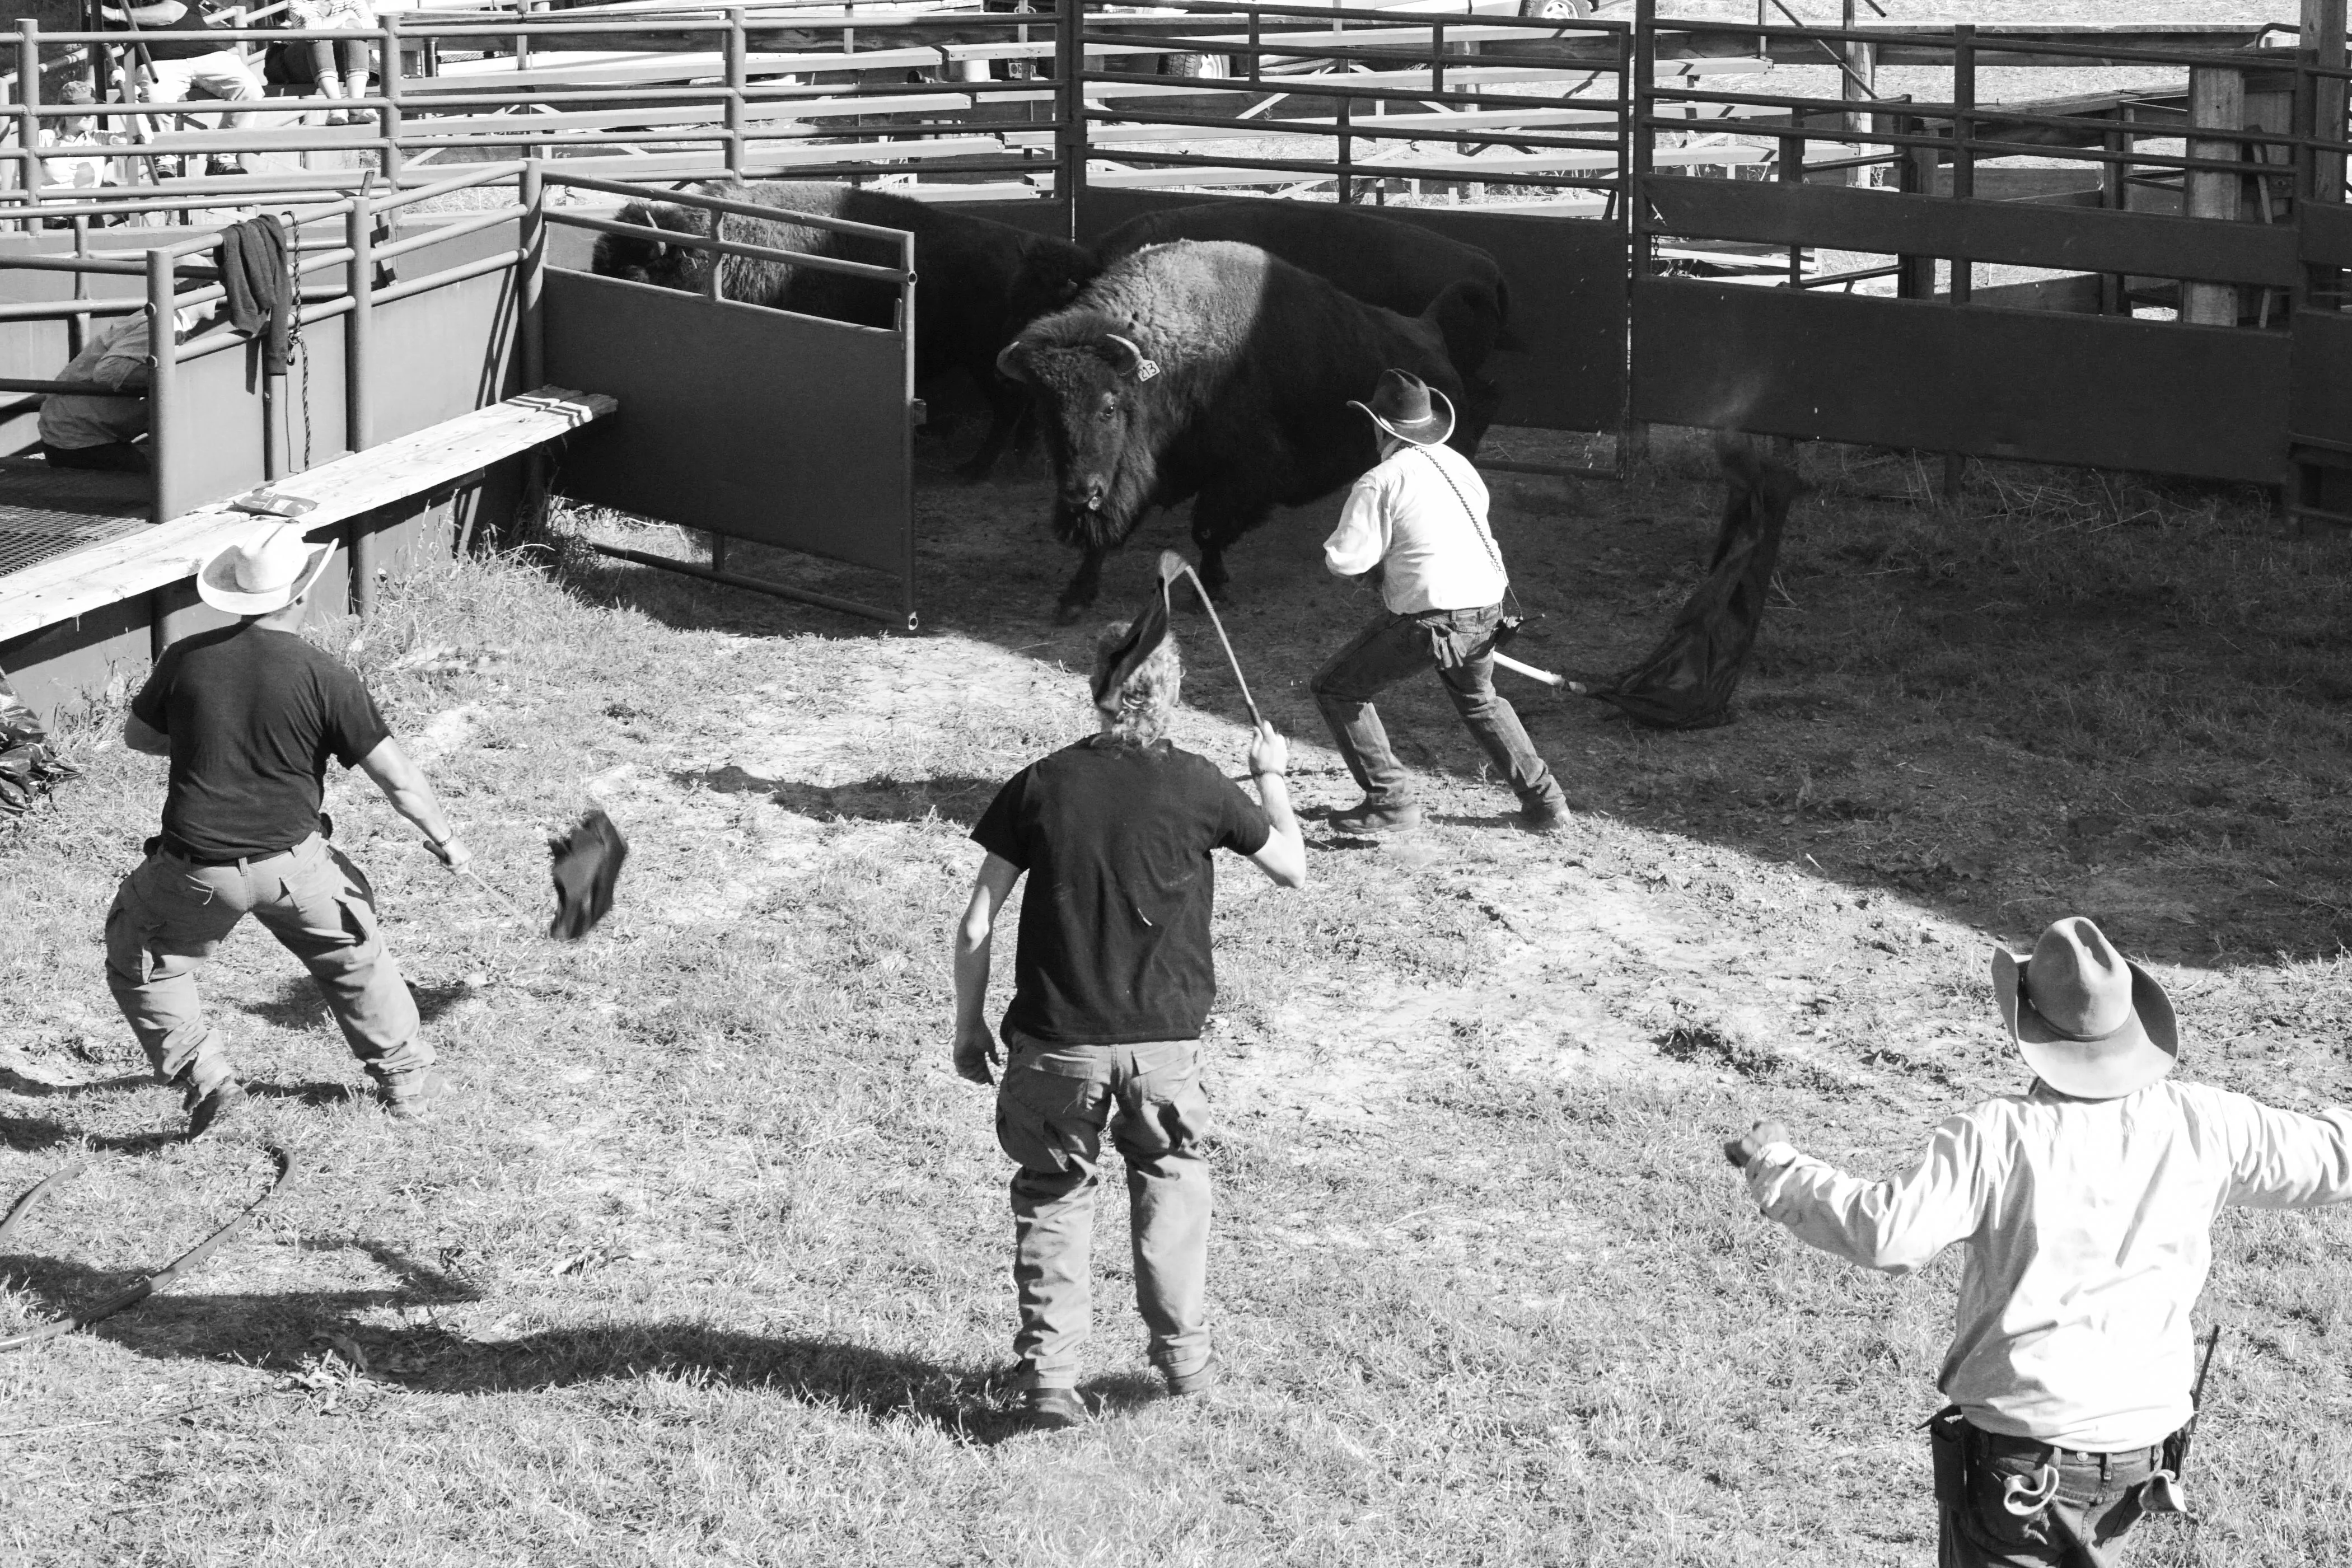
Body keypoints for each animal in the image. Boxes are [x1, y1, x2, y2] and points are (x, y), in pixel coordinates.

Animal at [592, 182, 1096, 479]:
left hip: (983, 360)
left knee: (1009, 407)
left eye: (633, 273)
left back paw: (974, 470)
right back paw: (1016, 460)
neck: (706, 255)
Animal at [1002, 240, 1495, 620]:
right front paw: (1073, 600)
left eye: (1108, 406)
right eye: (1046, 411)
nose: (1078, 492)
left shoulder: (1240, 475)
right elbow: (1103, 539)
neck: (1168, 358)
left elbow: (1208, 530)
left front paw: (1214, 589)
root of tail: (1427, 329)